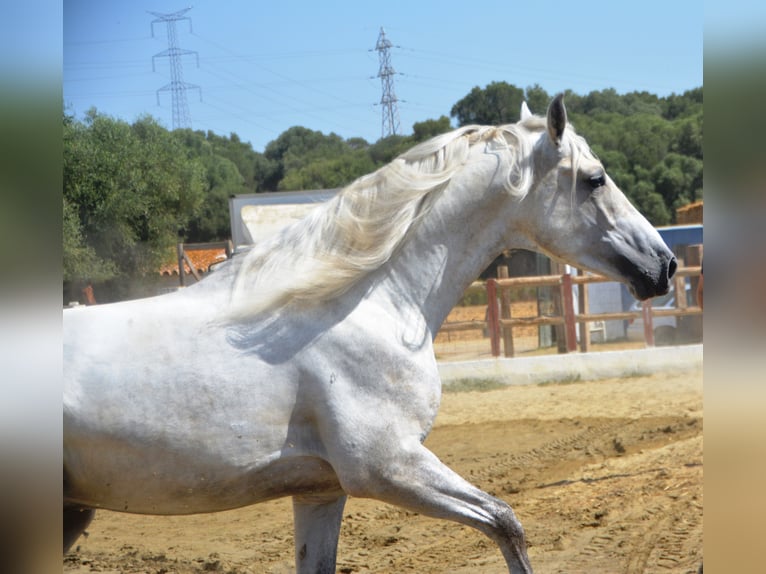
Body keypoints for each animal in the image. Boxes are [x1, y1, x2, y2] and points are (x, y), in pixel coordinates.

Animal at [66, 97, 680, 572]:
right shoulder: (389, 468)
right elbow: (507, 523)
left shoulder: (321, 492)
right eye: (594, 179)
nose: (666, 265)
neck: (368, 304)